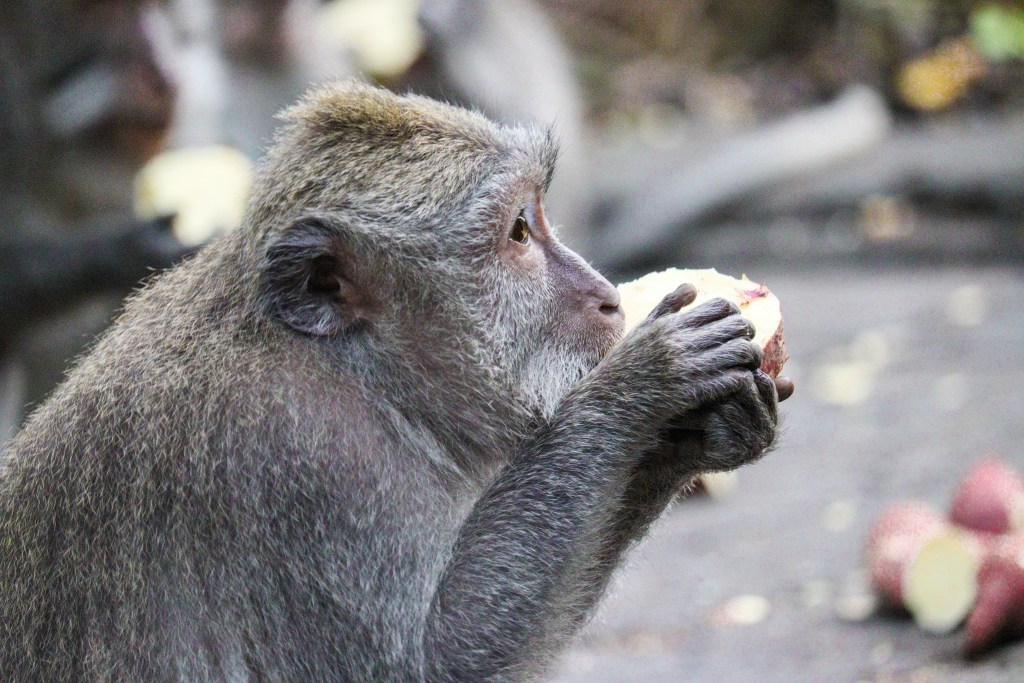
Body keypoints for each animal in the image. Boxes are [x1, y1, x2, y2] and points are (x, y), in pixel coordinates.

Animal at [0, 81, 785, 682]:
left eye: (537, 216)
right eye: (518, 233)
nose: (605, 297)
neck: (362, 374)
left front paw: (694, 435)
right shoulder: (303, 459)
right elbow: (434, 663)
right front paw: (643, 382)